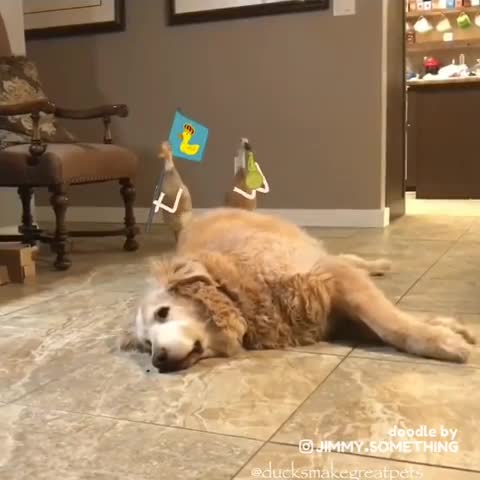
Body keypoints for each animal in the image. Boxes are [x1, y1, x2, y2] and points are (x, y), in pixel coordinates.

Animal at [121, 208, 476, 374]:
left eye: (163, 312)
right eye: (147, 344)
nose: (158, 360)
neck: (235, 293)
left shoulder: (331, 276)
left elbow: (391, 323)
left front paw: (441, 340)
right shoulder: (333, 312)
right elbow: (388, 320)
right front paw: (446, 326)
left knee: (350, 258)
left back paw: (379, 263)